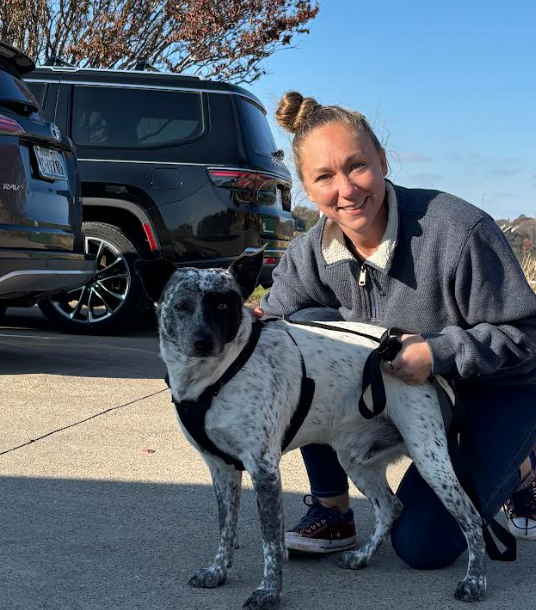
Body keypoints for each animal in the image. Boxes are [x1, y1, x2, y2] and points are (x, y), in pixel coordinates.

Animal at [138, 248, 486, 610]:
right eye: (181, 305)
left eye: (222, 306)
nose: (202, 342)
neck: (215, 379)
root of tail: (394, 347)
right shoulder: (221, 468)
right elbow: (226, 529)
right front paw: (218, 571)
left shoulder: (263, 468)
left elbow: (270, 541)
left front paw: (269, 592)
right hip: (356, 461)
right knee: (391, 507)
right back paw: (361, 556)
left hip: (430, 458)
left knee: (472, 518)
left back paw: (474, 582)